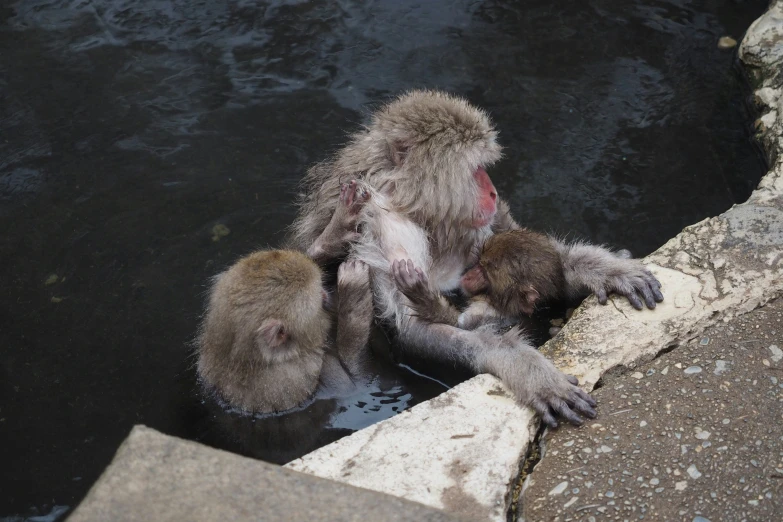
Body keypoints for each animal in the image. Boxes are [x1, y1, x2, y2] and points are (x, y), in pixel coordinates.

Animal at [201, 179, 376, 410]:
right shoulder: (314, 375)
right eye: (321, 299)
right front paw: (353, 292)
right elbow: (359, 380)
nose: (329, 295)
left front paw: (337, 229)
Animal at [396, 229, 568, 330]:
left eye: (485, 274)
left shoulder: (488, 313)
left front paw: (417, 291)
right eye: (479, 263)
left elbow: (459, 325)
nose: (469, 275)